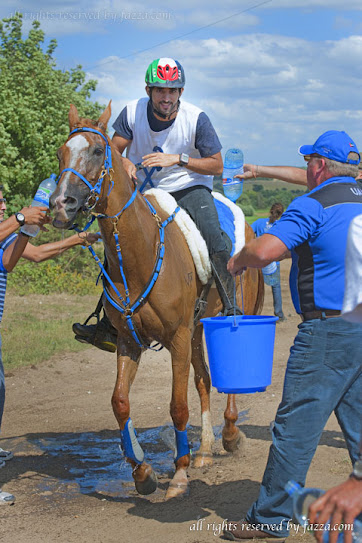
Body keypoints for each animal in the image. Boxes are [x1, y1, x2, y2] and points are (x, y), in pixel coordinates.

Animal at [50, 103, 264, 502]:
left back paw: (229, 435)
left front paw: (178, 474)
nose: (60, 204)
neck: (141, 253)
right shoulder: (129, 341)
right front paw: (142, 471)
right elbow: (120, 402)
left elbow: (178, 407)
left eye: (97, 151)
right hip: (197, 329)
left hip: (232, 316)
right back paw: (205, 451)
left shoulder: (177, 338)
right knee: (204, 379)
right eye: (61, 153)